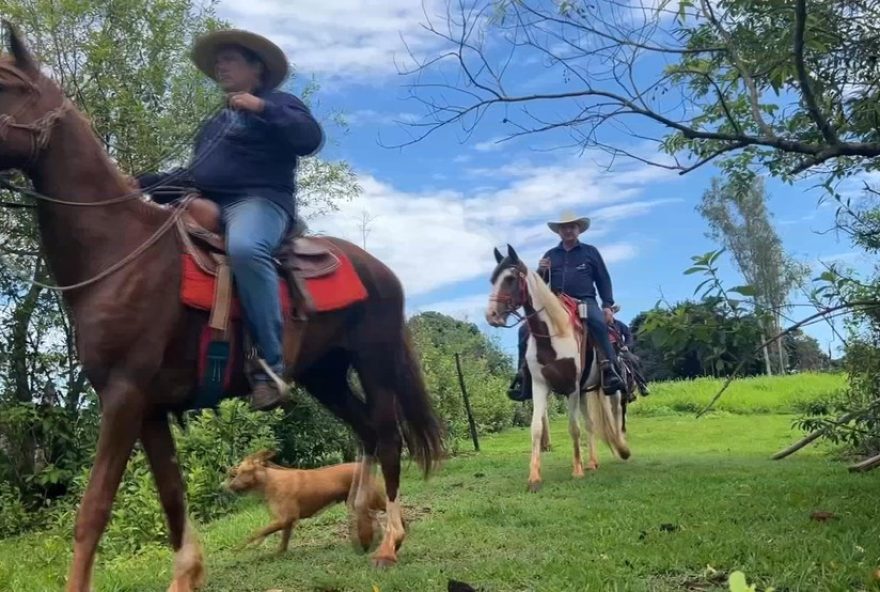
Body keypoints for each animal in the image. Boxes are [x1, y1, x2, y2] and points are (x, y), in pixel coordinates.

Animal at [227, 448, 384, 556]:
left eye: (243, 472)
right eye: (236, 473)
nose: (229, 486)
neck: (269, 481)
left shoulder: (284, 519)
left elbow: (255, 533)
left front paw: (239, 549)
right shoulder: (286, 522)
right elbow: (281, 543)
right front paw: (277, 554)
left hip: (371, 502)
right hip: (362, 505)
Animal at [488, 243, 624, 492]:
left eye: (510, 278)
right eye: (493, 279)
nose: (491, 315)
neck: (554, 334)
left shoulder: (572, 388)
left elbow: (573, 427)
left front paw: (577, 470)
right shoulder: (540, 386)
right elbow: (536, 428)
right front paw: (534, 477)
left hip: (609, 389)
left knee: (616, 416)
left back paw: (622, 450)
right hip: (586, 391)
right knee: (591, 424)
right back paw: (592, 462)